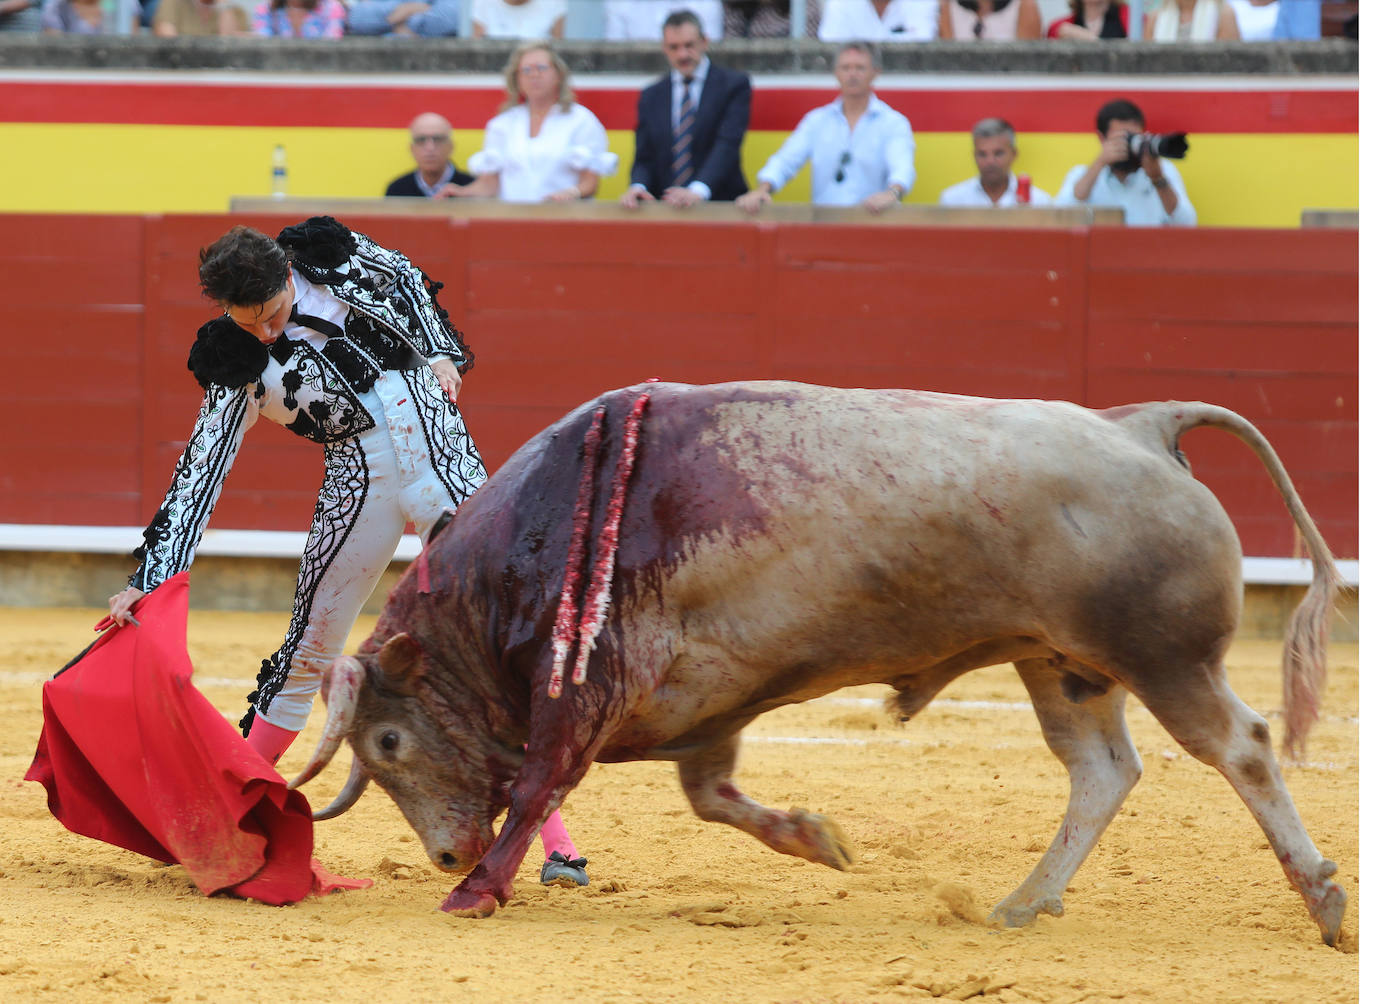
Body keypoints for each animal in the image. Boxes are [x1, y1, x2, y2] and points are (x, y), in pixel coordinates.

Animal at [287, 381, 1341, 944]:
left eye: (390, 740)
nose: (444, 853)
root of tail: (1141, 422)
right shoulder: (703, 706)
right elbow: (711, 797)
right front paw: (818, 839)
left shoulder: (587, 695)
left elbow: (543, 784)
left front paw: (474, 892)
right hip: (1064, 665)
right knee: (1102, 771)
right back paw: (1021, 904)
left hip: (1161, 657)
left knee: (1241, 746)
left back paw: (1324, 896)